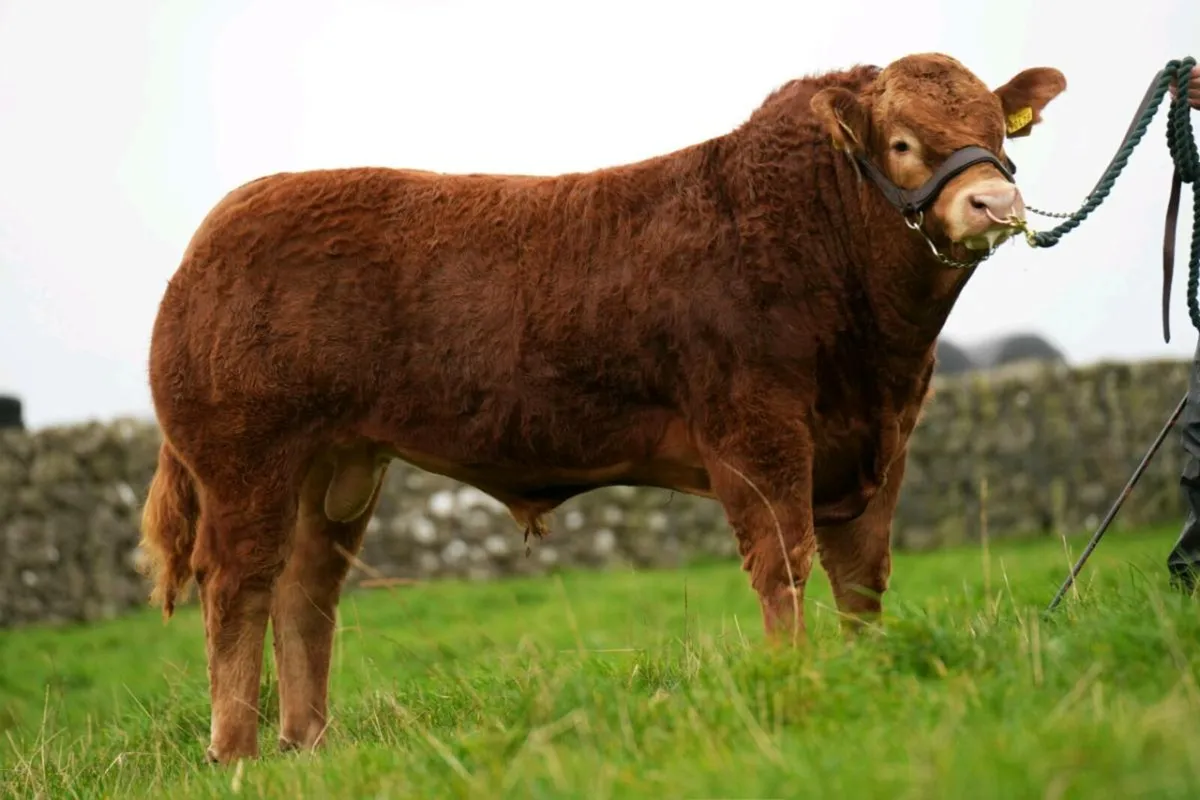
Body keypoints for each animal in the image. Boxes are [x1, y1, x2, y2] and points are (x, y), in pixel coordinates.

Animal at [137, 52, 1066, 763]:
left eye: (998, 131)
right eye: (903, 142)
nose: (993, 203)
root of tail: (218, 229)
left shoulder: (882, 441)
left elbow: (862, 577)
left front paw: (864, 674)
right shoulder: (756, 432)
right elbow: (784, 564)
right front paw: (792, 678)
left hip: (338, 464)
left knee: (306, 590)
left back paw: (308, 746)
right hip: (245, 459)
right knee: (240, 586)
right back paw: (238, 754)